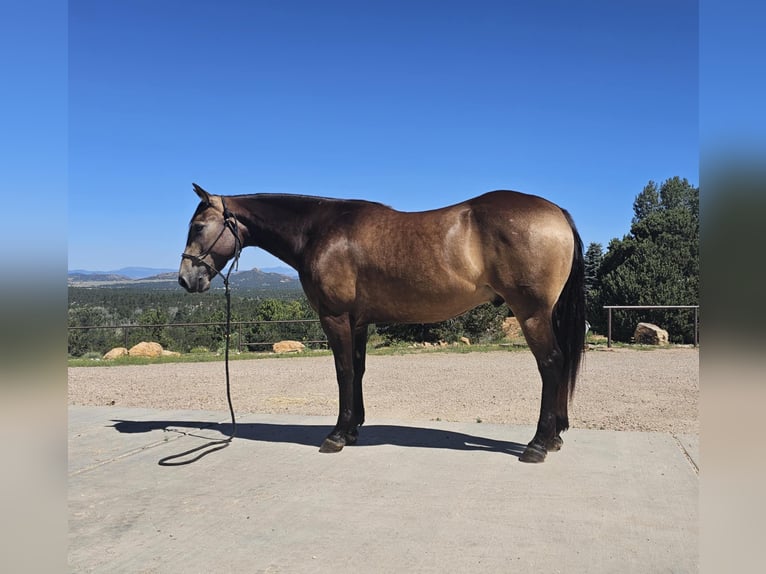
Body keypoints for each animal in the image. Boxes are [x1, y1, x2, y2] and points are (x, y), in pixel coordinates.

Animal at [182, 184, 588, 464]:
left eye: (199, 226)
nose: (187, 280)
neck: (319, 230)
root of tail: (557, 212)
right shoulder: (359, 322)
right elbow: (358, 370)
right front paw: (353, 429)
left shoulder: (335, 317)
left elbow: (344, 371)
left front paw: (336, 435)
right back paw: (554, 437)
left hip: (532, 313)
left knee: (551, 363)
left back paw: (538, 444)